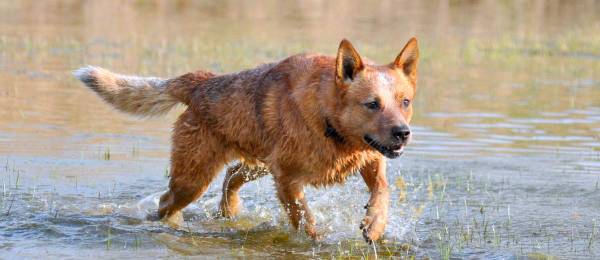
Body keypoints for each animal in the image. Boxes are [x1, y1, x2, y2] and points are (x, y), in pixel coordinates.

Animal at [75, 37, 420, 243]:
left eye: (405, 102)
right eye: (372, 104)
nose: (403, 133)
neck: (329, 124)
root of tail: (200, 82)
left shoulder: (371, 158)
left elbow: (382, 190)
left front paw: (374, 224)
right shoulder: (288, 180)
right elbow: (304, 219)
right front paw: (316, 241)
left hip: (259, 163)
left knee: (231, 175)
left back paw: (229, 210)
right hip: (195, 177)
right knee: (167, 201)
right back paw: (174, 225)